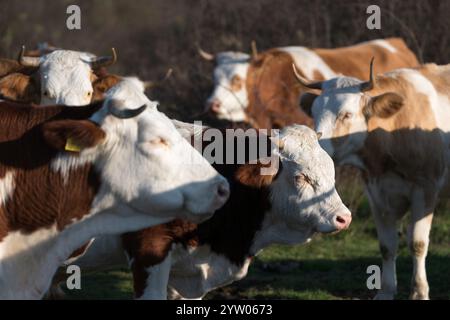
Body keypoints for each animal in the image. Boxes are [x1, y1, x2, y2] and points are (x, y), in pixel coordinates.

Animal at [294, 60, 450, 300]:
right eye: (314, 112)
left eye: (346, 115)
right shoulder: (376, 193)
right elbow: (387, 246)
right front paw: (386, 291)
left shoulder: (426, 189)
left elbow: (418, 243)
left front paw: (419, 292)